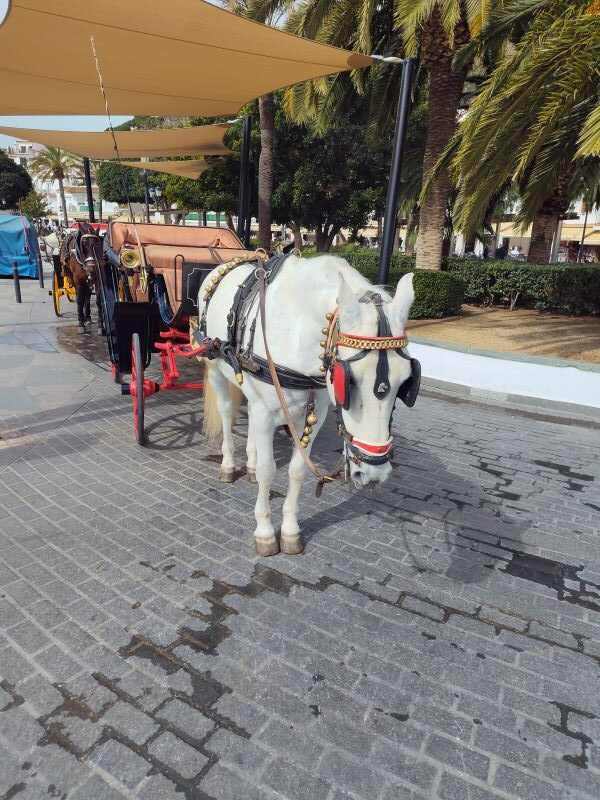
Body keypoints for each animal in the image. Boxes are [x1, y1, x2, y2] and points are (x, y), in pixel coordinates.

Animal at [199, 255, 414, 556]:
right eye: (349, 382)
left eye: (405, 382)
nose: (375, 474)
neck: (297, 333)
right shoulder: (267, 410)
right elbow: (268, 471)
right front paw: (265, 532)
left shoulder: (315, 413)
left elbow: (297, 470)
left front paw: (290, 530)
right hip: (216, 368)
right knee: (227, 411)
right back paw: (229, 465)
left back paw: (250, 463)